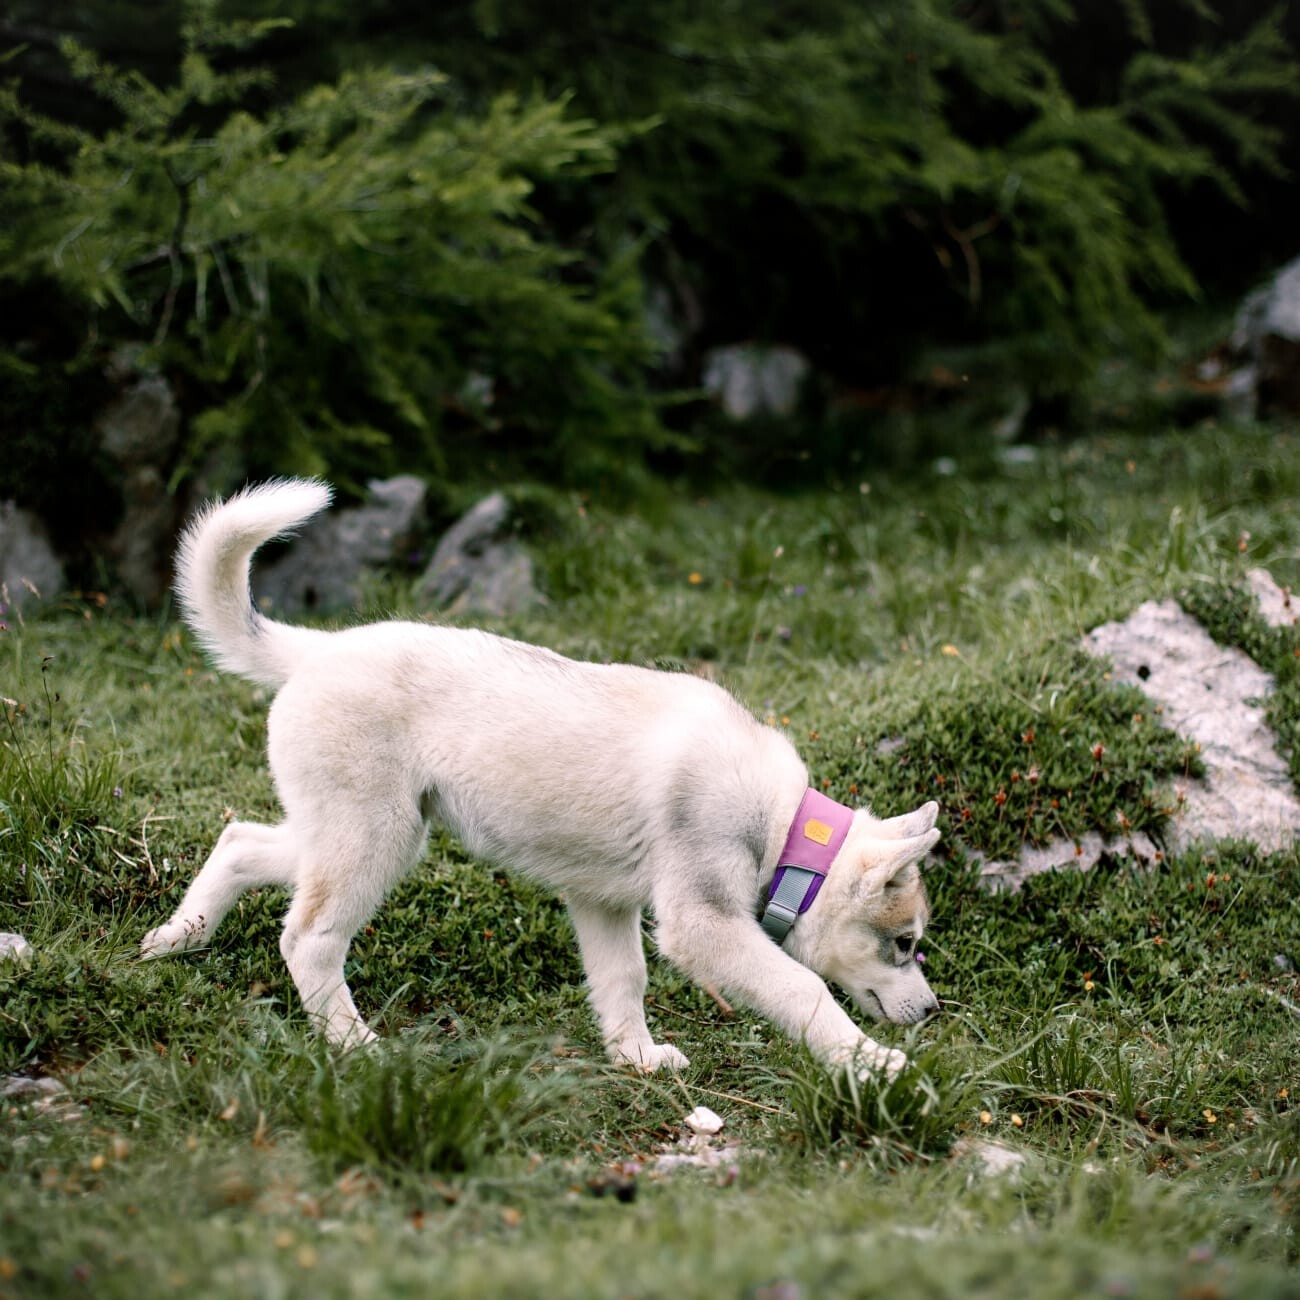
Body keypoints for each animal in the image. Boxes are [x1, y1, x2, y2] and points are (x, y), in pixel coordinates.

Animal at [142, 480, 940, 1079]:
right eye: (904, 943)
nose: (932, 1012)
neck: (783, 827)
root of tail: (319, 649)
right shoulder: (700, 922)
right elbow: (801, 987)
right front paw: (875, 1064)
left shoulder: (603, 902)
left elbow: (622, 981)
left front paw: (637, 1058)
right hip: (376, 840)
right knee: (308, 938)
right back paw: (355, 1046)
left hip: (347, 833)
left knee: (241, 842)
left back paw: (174, 940)